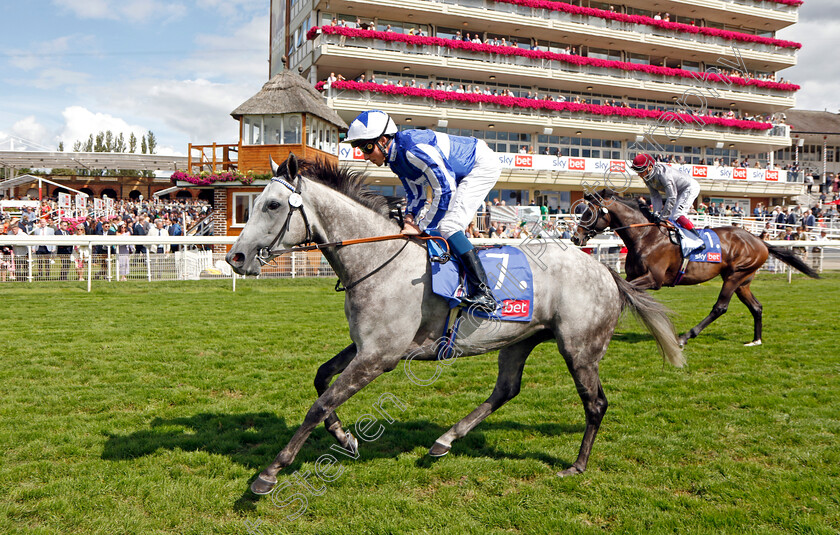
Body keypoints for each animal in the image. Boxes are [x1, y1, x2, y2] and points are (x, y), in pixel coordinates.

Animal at [225, 154, 684, 494]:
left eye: (271, 205)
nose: (235, 257)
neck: (377, 261)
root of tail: (605, 271)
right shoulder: (365, 347)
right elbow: (322, 381)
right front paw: (346, 438)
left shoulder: (380, 356)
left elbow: (320, 403)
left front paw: (270, 473)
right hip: (520, 339)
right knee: (506, 390)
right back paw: (444, 440)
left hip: (579, 348)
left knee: (595, 403)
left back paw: (577, 465)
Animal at [572, 188, 820, 348]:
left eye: (588, 212)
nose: (575, 237)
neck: (646, 235)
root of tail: (760, 241)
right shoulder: (634, 276)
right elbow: (622, 296)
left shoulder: (654, 279)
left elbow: (623, 295)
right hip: (743, 281)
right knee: (756, 307)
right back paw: (755, 339)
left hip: (734, 276)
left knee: (720, 307)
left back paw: (685, 337)